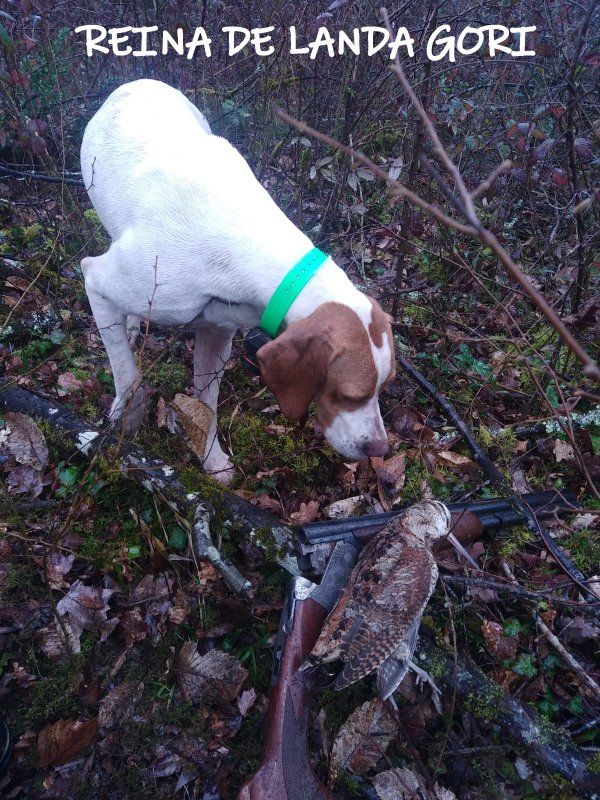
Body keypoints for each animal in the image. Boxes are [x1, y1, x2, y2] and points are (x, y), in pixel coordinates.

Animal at [82, 81, 396, 484]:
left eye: (383, 387)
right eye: (349, 395)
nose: (380, 450)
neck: (242, 239)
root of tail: (137, 82)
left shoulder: (217, 332)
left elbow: (206, 407)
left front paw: (211, 460)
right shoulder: (98, 279)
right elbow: (126, 373)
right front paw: (127, 416)